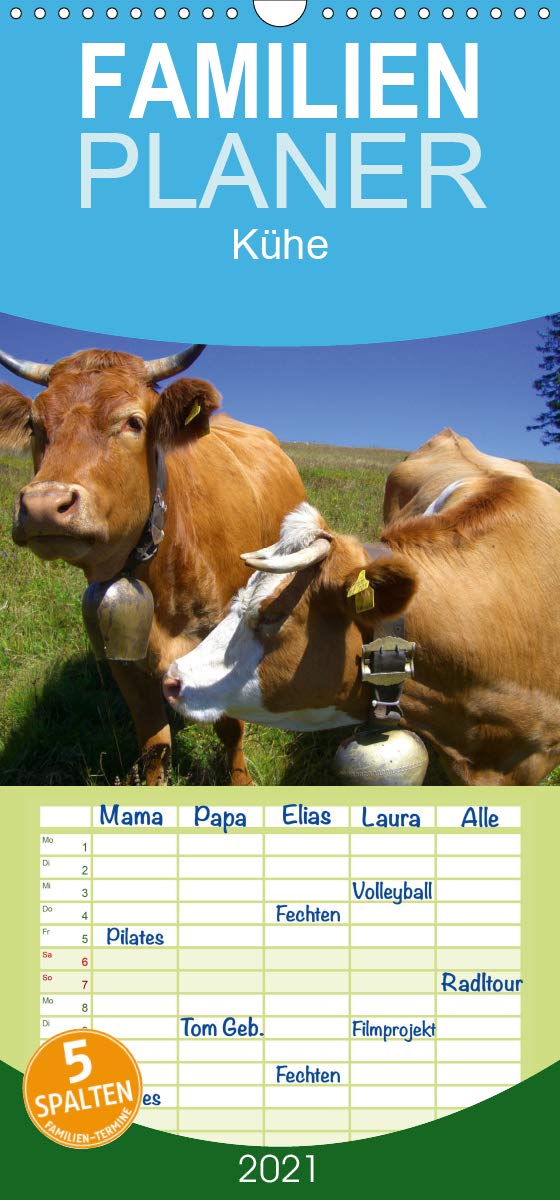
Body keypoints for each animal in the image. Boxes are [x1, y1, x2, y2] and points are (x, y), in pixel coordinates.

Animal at [0, 343, 305, 785]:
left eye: (133, 422)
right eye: (34, 424)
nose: (42, 506)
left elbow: (231, 728)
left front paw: (241, 780)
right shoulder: (124, 658)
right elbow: (154, 741)